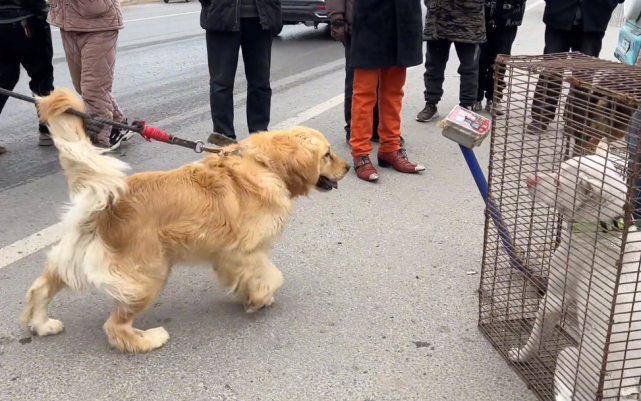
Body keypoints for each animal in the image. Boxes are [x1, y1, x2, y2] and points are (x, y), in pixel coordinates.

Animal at [21, 88, 350, 354]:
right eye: (327, 155)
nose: (347, 167)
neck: (265, 164)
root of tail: (107, 203)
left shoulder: (227, 256)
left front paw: (248, 295)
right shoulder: (246, 252)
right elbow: (272, 276)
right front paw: (259, 299)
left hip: (74, 257)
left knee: (39, 288)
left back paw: (42, 323)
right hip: (148, 275)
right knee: (114, 328)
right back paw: (147, 339)